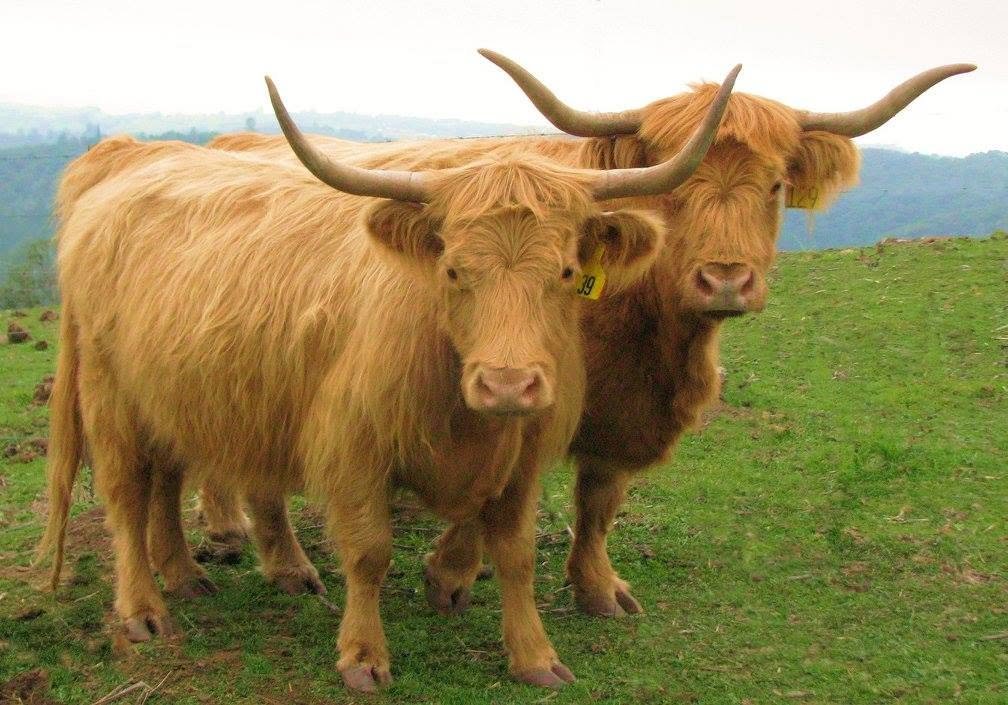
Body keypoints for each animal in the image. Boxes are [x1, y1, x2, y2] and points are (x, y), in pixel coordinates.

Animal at [37, 69, 737, 691]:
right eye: (454, 270)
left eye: (566, 272)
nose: (508, 384)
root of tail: (129, 158)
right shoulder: (354, 450)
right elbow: (370, 552)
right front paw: (363, 658)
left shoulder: (524, 455)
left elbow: (514, 552)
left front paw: (536, 657)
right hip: (109, 395)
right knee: (127, 493)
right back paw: (144, 611)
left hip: (175, 396)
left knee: (165, 478)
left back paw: (186, 575)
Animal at [201, 51, 975, 619]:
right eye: (675, 190)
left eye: (778, 186)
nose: (725, 280)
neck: (649, 334)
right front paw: (449, 576)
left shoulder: (624, 417)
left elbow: (600, 501)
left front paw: (599, 588)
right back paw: (240, 539)